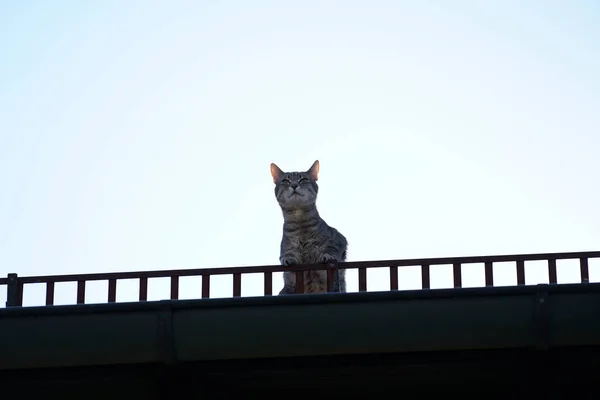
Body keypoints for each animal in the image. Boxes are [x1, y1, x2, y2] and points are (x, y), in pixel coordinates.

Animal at [270, 159, 350, 294]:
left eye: (303, 179)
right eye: (286, 181)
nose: (294, 185)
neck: (300, 222)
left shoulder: (340, 240)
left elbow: (331, 249)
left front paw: (327, 255)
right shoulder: (287, 261)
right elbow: (287, 257)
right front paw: (288, 259)